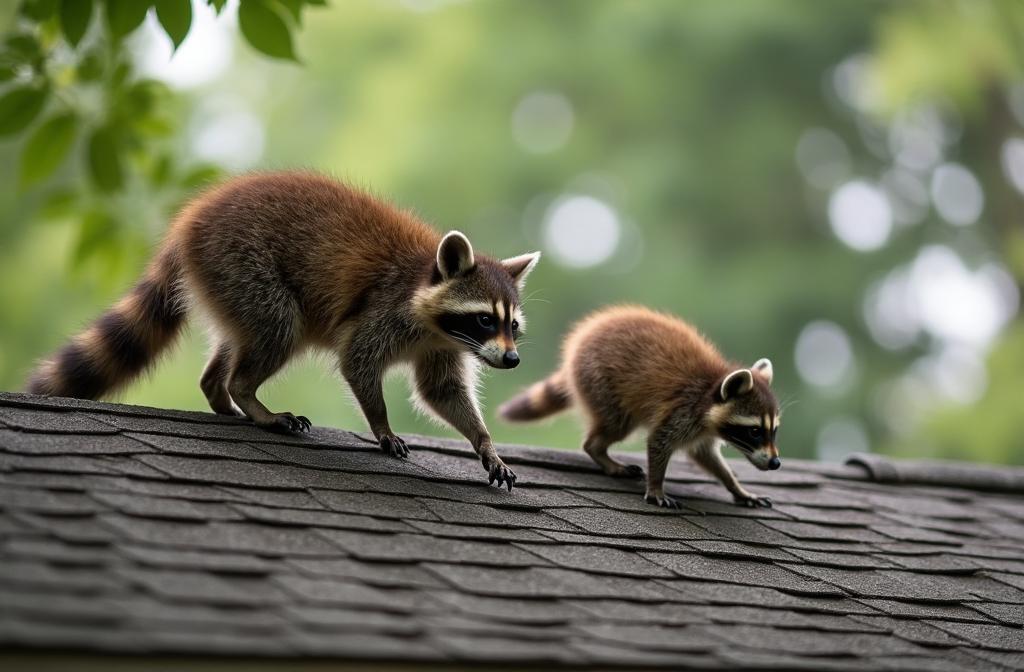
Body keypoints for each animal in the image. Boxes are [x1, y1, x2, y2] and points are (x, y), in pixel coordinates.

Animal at [27, 172, 540, 490]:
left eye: (512, 326)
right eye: (485, 319)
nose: (513, 359)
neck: (432, 312)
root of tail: (189, 223)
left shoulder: (442, 344)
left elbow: (442, 390)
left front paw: (484, 442)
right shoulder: (386, 311)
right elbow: (358, 360)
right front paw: (381, 424)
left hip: (227, 282)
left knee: (241, 340)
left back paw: (220, 391)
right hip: (242, 263)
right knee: (277, 327)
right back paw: (246, 394)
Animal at [499, 305, 780, 507]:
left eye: (774, 430)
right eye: (755, 431)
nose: (775, 463)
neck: (712, 388)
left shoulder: (701, 429)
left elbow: (705, 456)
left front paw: (736, 487)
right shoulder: (683, 411)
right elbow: (659, 441)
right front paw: (656, 486)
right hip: (599, 381)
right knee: (615, 425)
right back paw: (600, 452)